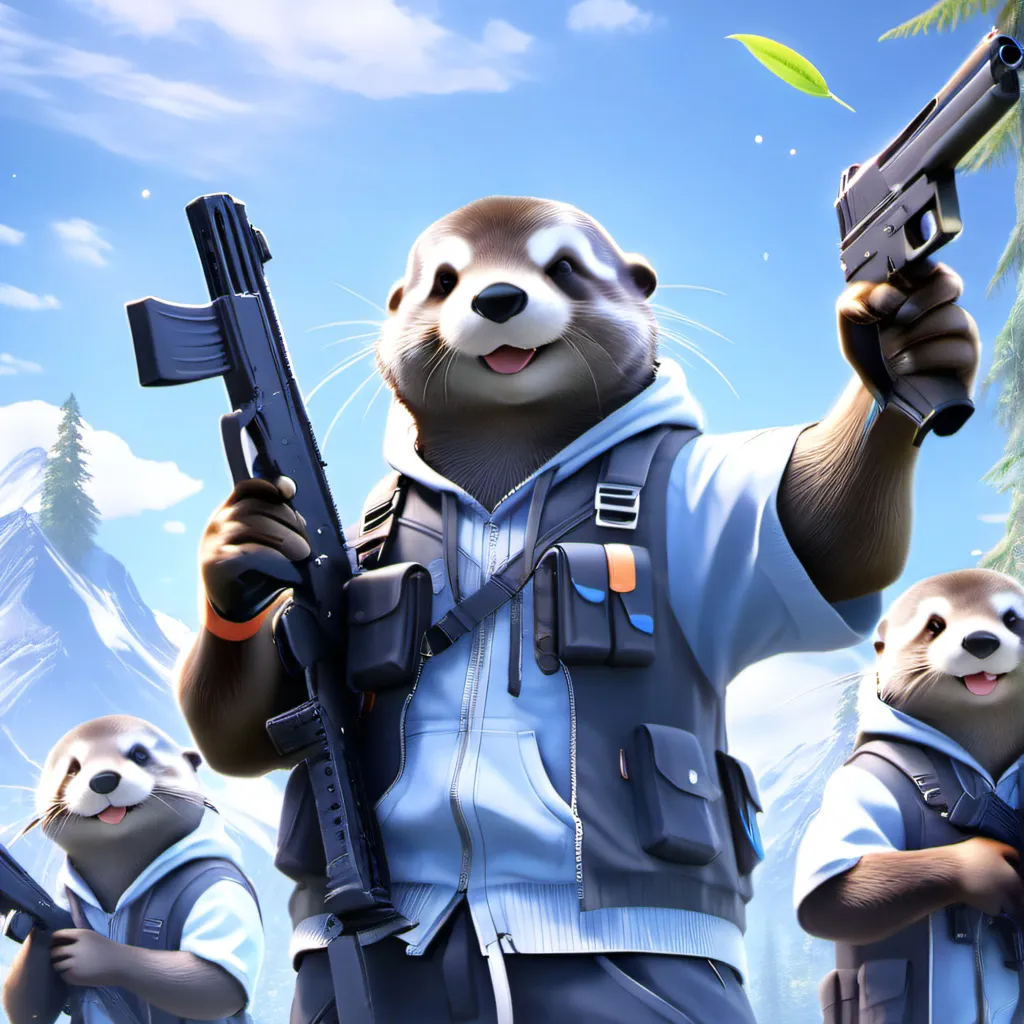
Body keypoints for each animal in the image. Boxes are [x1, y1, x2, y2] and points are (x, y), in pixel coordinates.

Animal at [2, 715, 264, 1024]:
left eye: (140, 754)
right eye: (73, 769)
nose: (103, 779)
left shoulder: (221, 887)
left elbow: (213, 985)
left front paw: (93, 953)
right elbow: (28, 1008)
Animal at [173, 195, 980, 1024]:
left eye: (563, 266)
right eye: (444, 280)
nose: (498, 299)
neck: (502, 475)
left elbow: (831, 537)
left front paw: (910, 343)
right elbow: (243, 734)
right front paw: (238, 545)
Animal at [796, 570, 1024, 1024]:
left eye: (1012, 619)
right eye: (934, 625)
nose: (981, 641)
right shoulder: (858, 780)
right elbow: (832, 899)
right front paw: (984, 866)